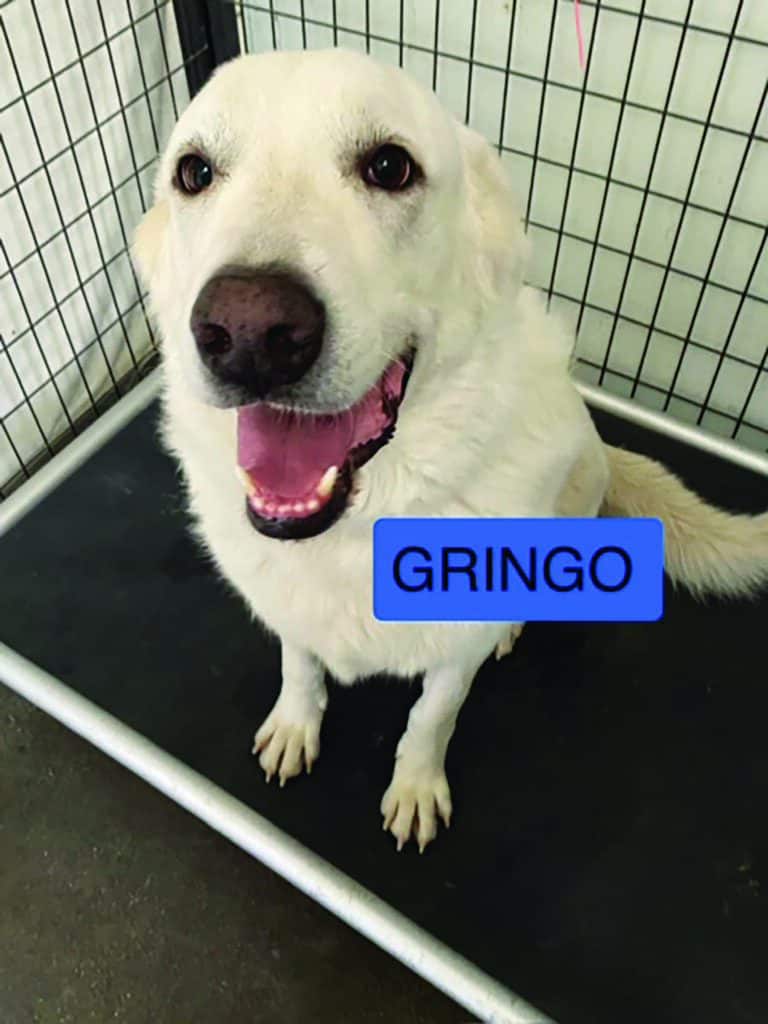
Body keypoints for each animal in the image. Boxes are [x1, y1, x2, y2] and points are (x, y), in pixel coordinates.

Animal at [132, 49, 768, 847]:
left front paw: (415, 786)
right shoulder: (288, 608)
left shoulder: (453, 653)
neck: (362, 525)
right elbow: (300, 664)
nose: (249, 332)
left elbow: (431, 717)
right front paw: (296, 722)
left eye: (389, 166)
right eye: (194, 172)